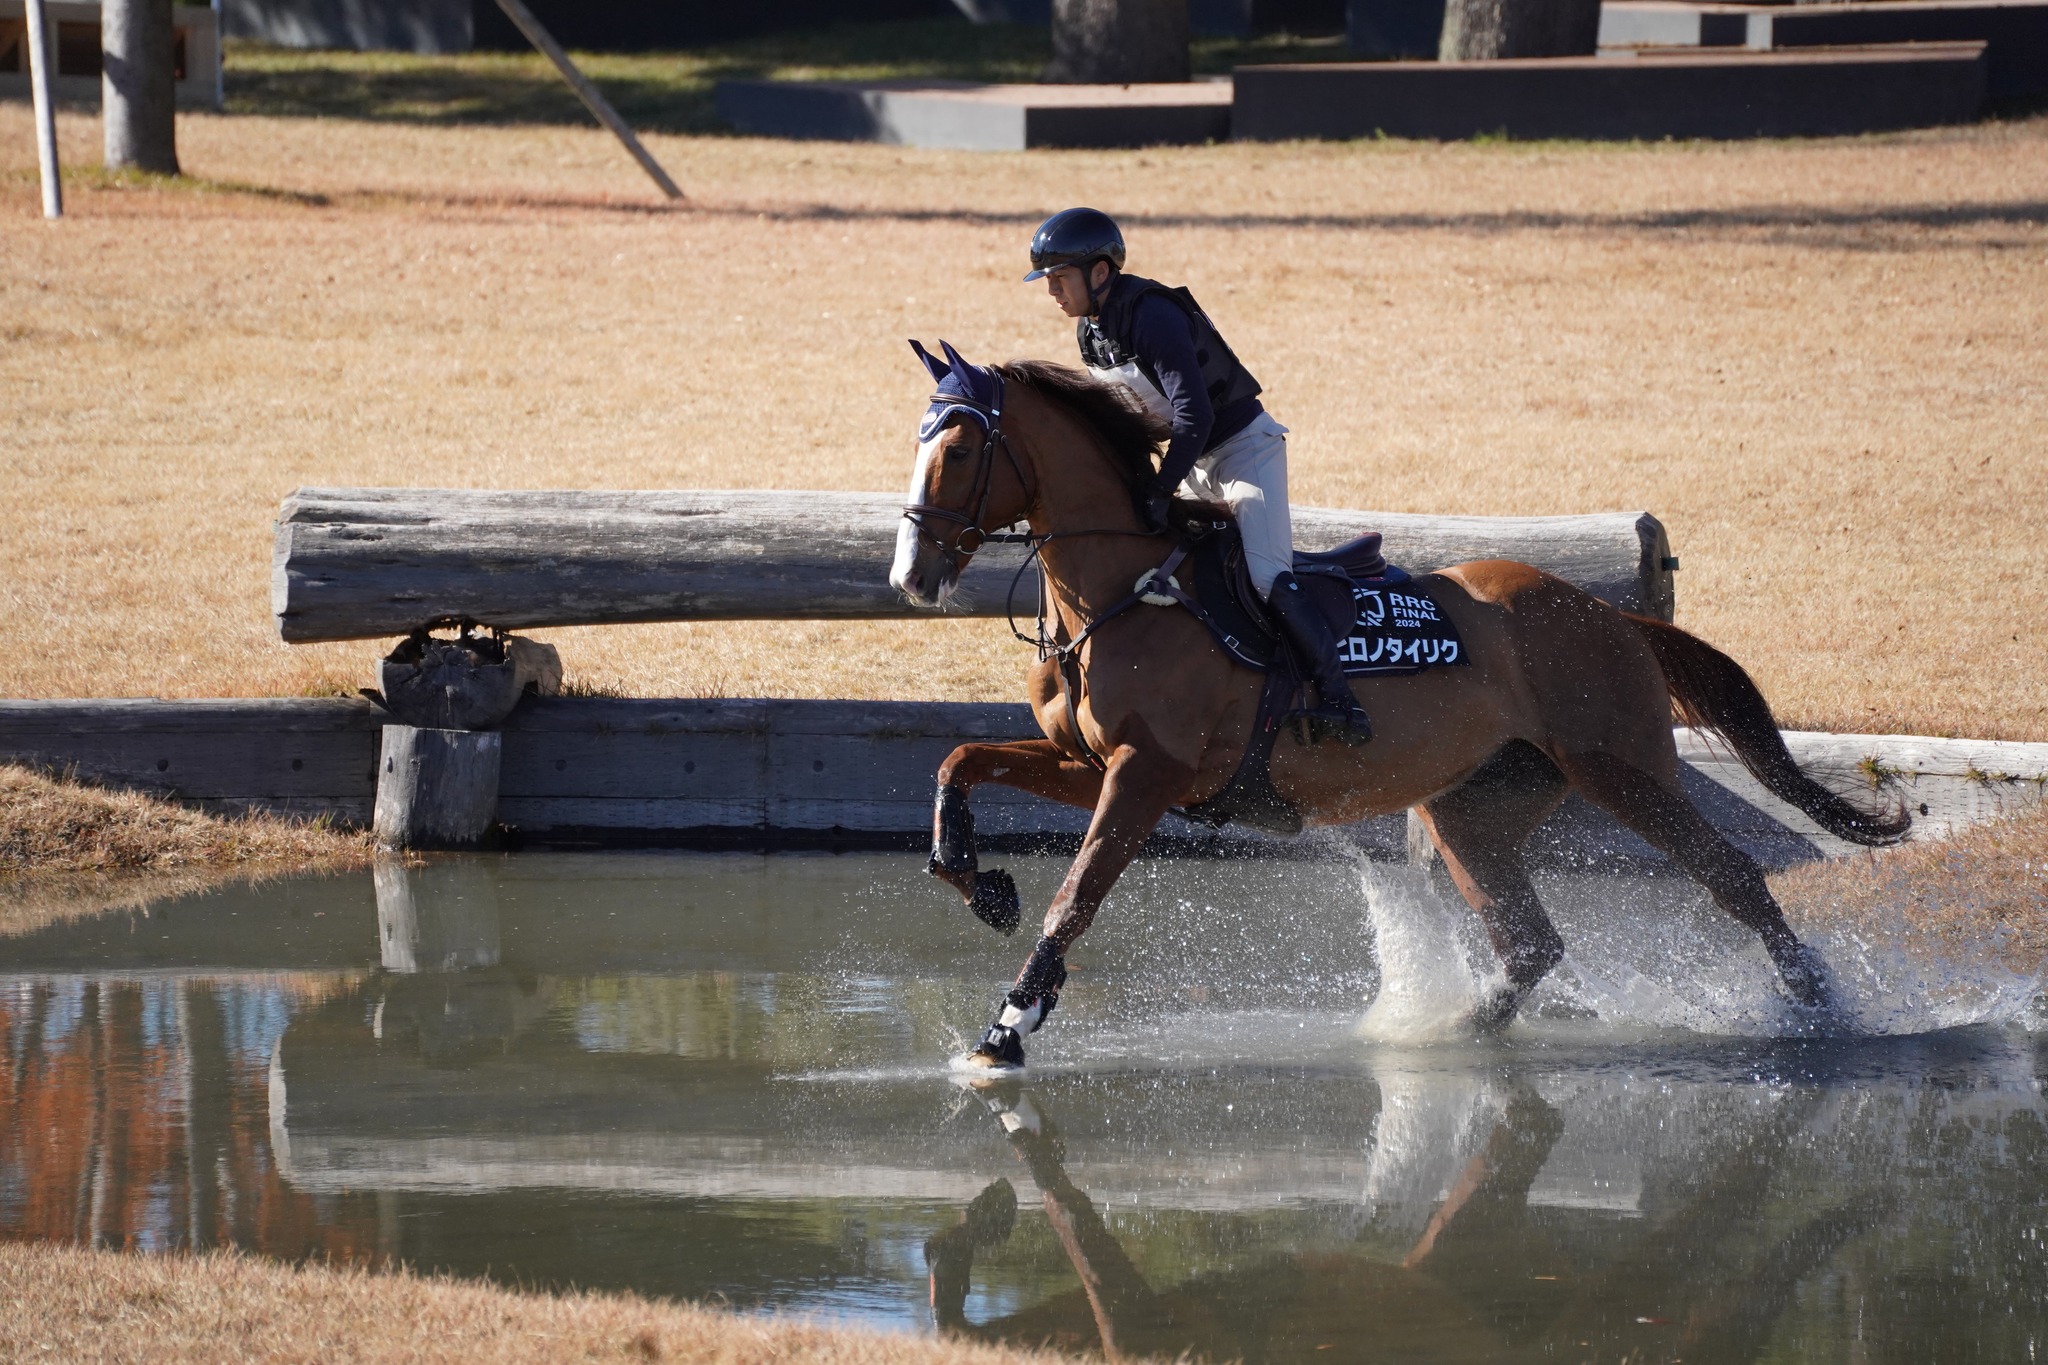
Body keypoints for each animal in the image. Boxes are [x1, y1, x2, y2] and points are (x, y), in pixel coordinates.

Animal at [890, 340, 1906, 1069]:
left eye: (963, 446)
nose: (914, 576)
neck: (1121, 592)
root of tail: (1611, 614)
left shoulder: (1145, 776)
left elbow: (1075, 898)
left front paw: (1008, 1027)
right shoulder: (1095, 765)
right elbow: (957, 761)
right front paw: (977, 880)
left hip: (1621, 768)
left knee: (1732, 874)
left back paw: (1818, 1006)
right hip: (1471, 806)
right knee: (1530, 941)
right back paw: (1448, 1030)